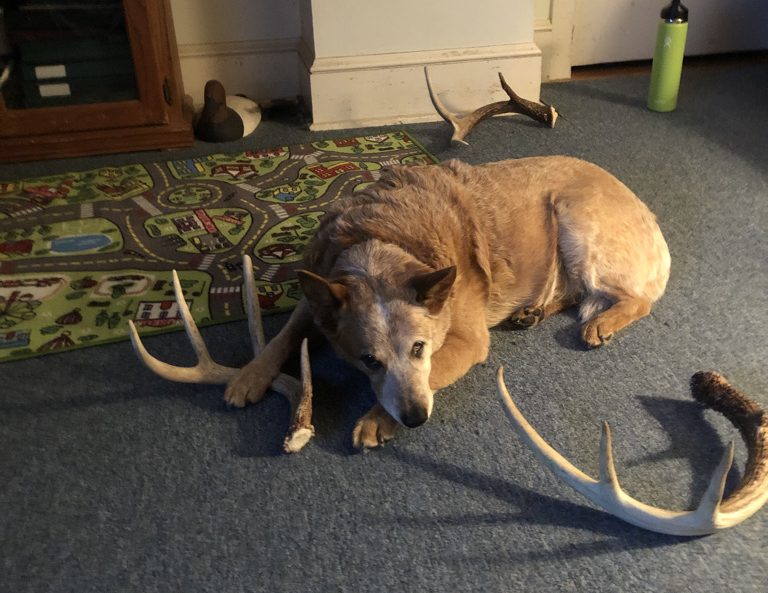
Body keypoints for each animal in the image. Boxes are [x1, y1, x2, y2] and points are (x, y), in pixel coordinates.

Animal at [225, 157, 668, 448]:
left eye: (419, 348)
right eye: (369, 361)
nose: (414, 419)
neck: (379, 244)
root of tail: (647, 211)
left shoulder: (468, 341)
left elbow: (434, 373)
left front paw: (376, 420)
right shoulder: (317, 295)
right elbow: (283, 337)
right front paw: (249, 376)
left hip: (576, 222)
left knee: (634, 299)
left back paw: (600, 324)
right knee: (573, 293)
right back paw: (531, 312)